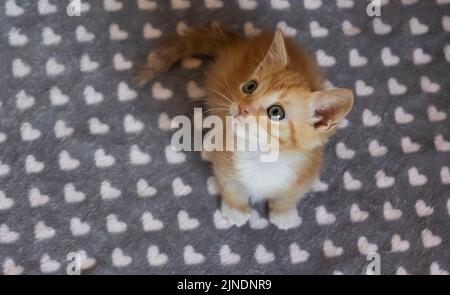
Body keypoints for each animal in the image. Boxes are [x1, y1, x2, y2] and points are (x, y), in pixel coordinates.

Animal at [139, 23, 354, 231]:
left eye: (276, 112)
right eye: (250, 86)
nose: (243, 107)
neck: (262, 156)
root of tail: (240, 43)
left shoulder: (309, 169)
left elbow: (291, 195)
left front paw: (283, 212)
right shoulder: (226, 162)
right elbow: (230, 184)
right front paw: (236, 209)